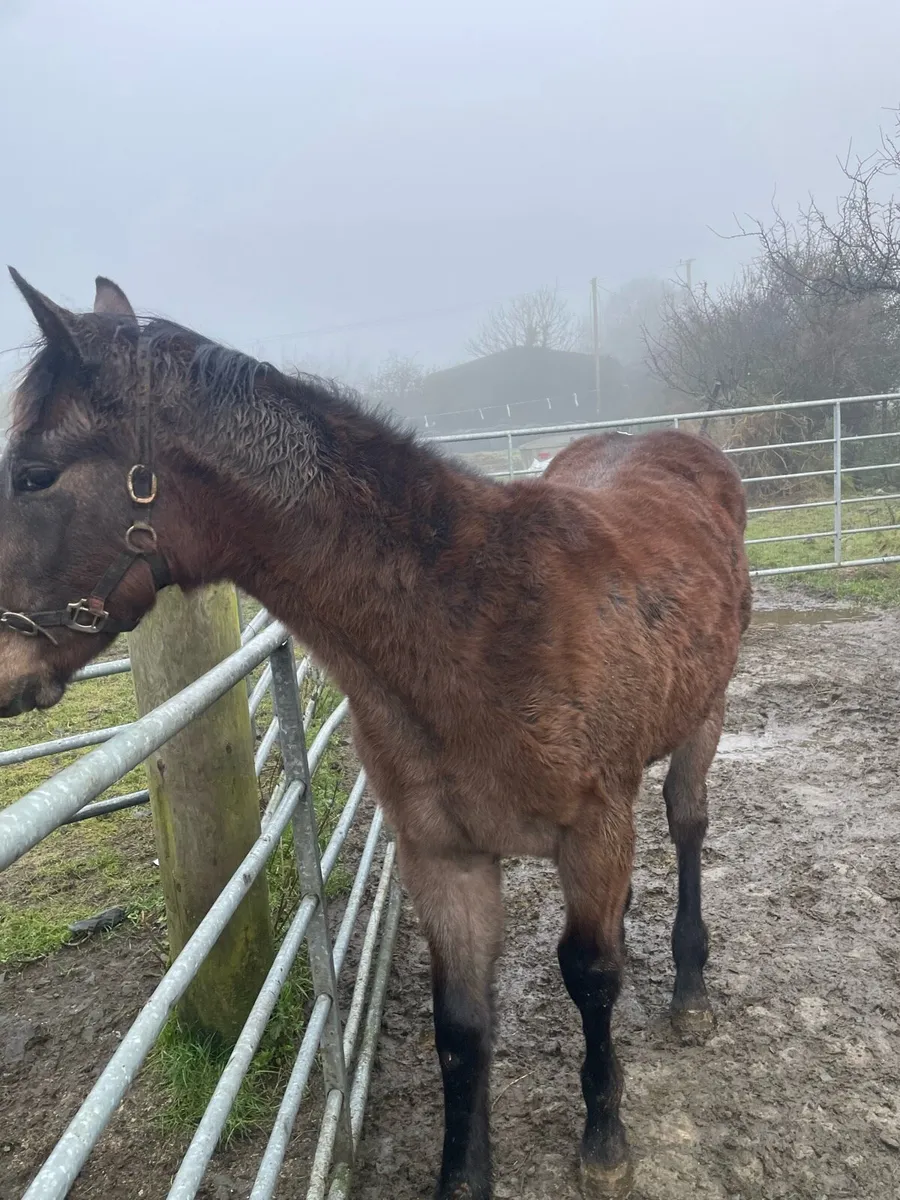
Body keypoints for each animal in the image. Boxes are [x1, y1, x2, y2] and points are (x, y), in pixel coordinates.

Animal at [0, 270, 751, 1200]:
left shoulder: (591, 830)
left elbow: (591, 977)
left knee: (687, 825)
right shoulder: (443, 855)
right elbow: (461, 1025)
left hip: (704, 720)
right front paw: (463, 1175)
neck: (470, 622)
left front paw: (605, 1140)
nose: (1, 665)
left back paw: (690, 990)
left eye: (34, 474)